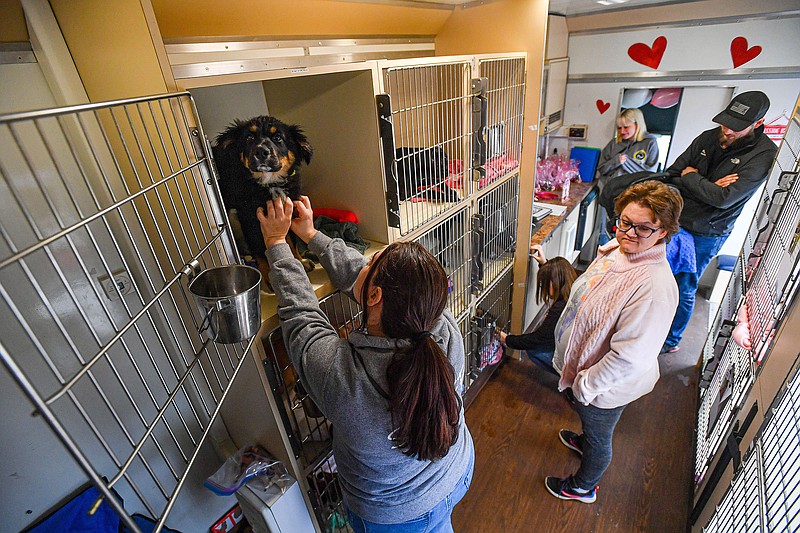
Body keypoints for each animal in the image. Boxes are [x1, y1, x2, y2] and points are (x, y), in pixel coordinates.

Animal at [212, 116, 316, 290]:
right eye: (249, 138)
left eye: (278, 138)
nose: (261, 151)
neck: (270, 184)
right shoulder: (250, 218)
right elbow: (259, 248)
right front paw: (267, 276)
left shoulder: (289, 210)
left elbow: (291, 241)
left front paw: (300, 261)